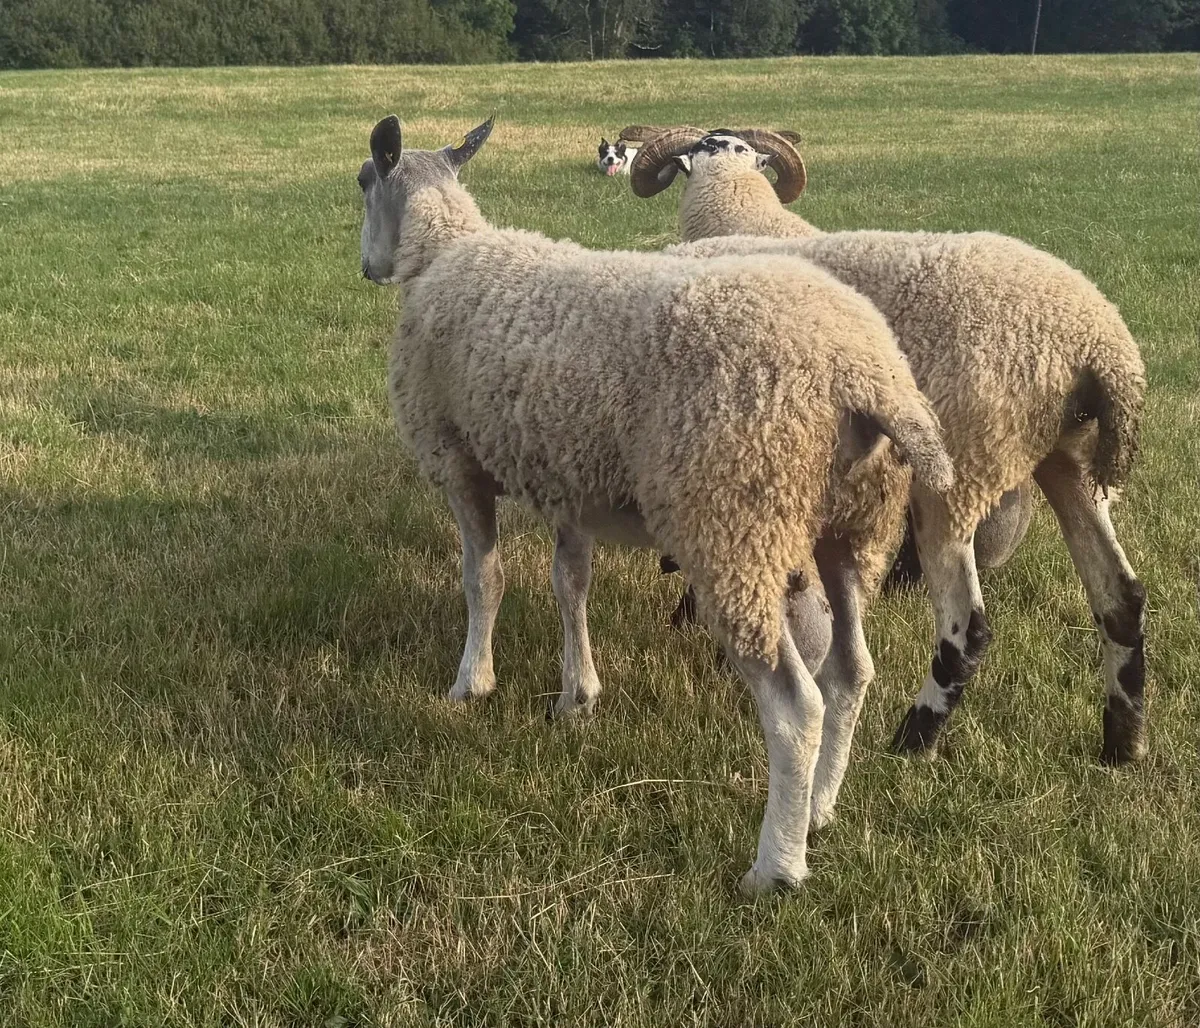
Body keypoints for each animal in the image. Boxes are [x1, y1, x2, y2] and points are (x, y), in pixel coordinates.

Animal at [358, 113, 955, 892]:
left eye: (362, 181)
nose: (366, 267)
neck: (442, 254)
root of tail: (864, 371)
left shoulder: (458, 462)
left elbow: (483, 579)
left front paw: (471, 684)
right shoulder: (571, 482)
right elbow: (569, 586)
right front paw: (577, 696)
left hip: (735, 521)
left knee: (796, 705)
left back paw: (776, 866)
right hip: (851, 528)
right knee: (851, 672)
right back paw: (821, 810)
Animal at [626, 126, 1148, 765]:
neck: (741, 212)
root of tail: (1101, 346)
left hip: (961, 473)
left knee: (968, 628)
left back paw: (911, 741)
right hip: (1072, 461)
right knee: (1120, 598)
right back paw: (1122, 740)